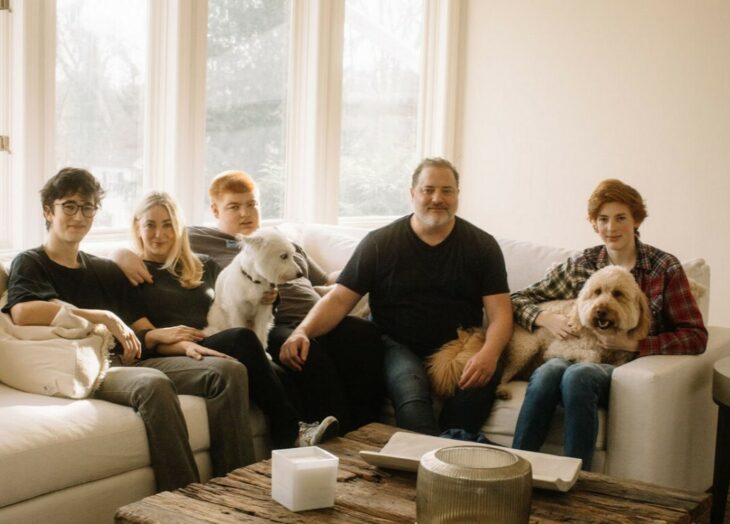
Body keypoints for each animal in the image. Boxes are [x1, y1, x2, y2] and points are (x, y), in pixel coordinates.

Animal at [424, 266, 652, 398]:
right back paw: (502, 390)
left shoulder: (621, 357)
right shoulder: (559, 347)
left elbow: (616, 364)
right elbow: (591, 355)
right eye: (597, 292)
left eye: (618, 294)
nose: (601, 311)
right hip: (526, 348)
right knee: (505, 374)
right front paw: (587, 360)